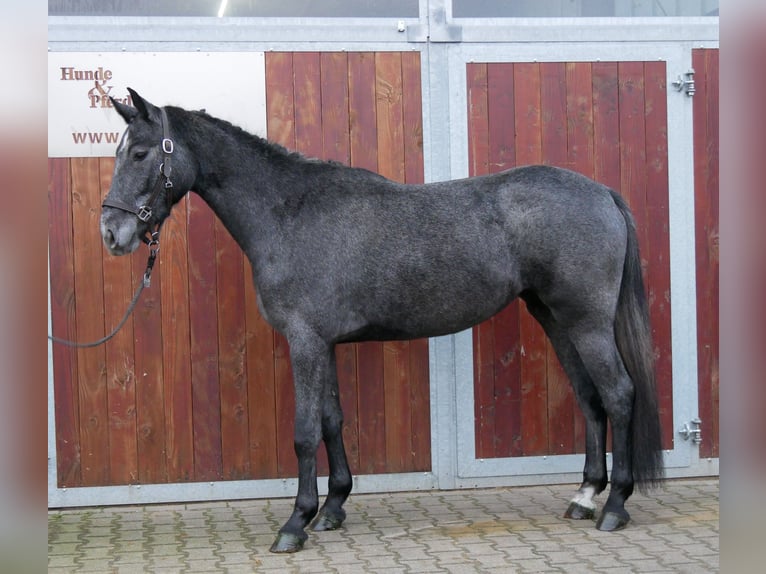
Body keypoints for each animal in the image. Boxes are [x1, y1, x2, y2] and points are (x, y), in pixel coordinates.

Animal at [102, 89, 664, 552]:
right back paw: (584, 496)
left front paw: (295, 524)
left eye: (140, 152)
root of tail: (602, 193)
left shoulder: (304, 341)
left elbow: (304, 431)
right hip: (556, 318)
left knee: (618, 394)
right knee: (589, 397)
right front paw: (332, 508)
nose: (111, 232)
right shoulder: (323, 343)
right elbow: (332, 420)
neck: (289, 212)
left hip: (587, 322)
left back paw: (615, 507)